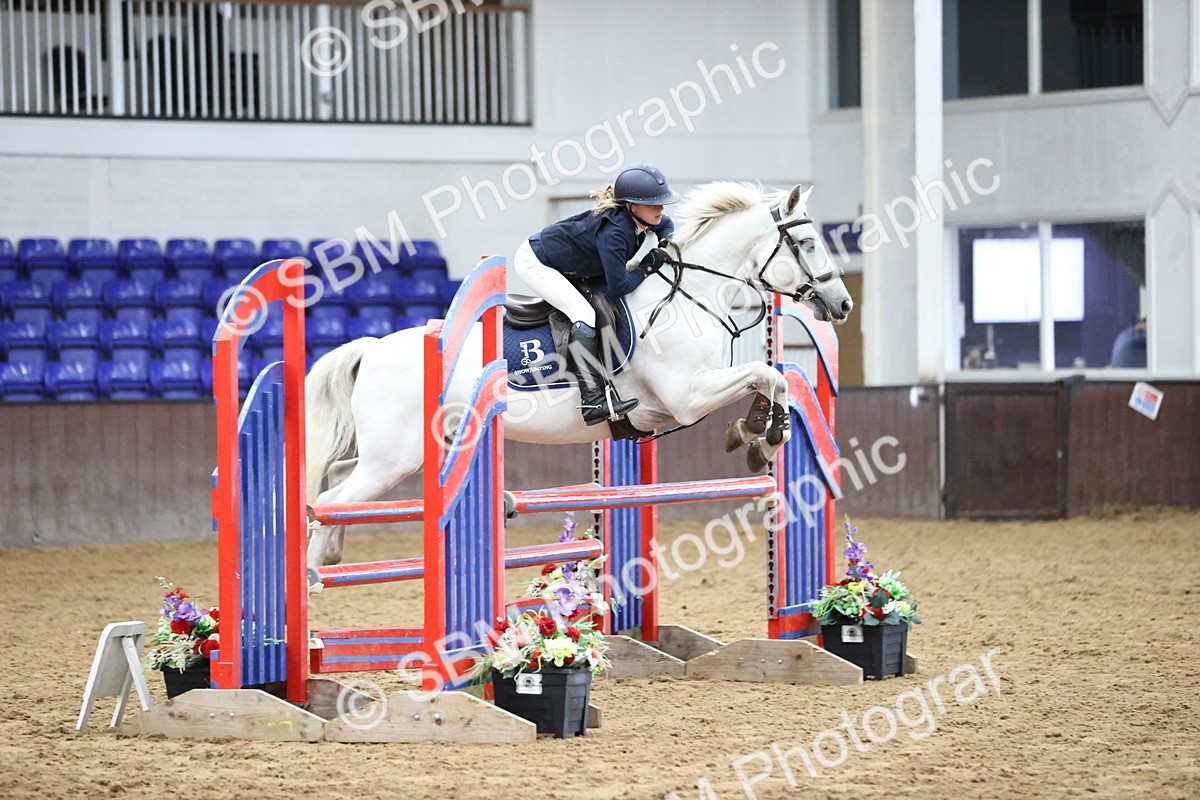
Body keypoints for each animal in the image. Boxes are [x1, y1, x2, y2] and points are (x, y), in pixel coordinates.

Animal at [305, 181, 853, 567]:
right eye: (807, 242)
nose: (843, 304)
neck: (690, 297)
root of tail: (374, 348)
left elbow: (770, 377)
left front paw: (755, 431)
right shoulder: (685, 397)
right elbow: (767, 374)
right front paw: (763, 436)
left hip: (405, 451)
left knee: (339, 479)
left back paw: (331, 552)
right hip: (397, 456)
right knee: (331, 498)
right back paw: (312, 580)